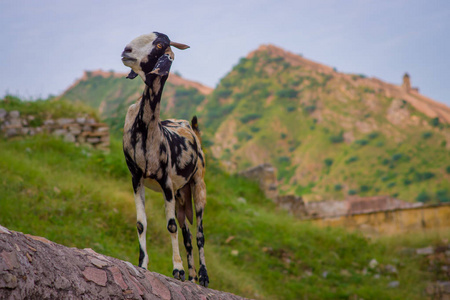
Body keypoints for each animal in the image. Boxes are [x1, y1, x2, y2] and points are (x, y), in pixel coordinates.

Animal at [120, 31, 210, 288]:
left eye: (160, 45)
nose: (126, 51)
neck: (148, 132)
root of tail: (191, 129)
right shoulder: (136, 178)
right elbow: (141, 223)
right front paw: (142, 264)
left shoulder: (166, 181)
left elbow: (170, 226)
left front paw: (177, 269)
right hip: (181, 194)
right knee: (187, 233)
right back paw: (191, 278)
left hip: (198, 184)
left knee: (199, 233)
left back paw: (202, 276)